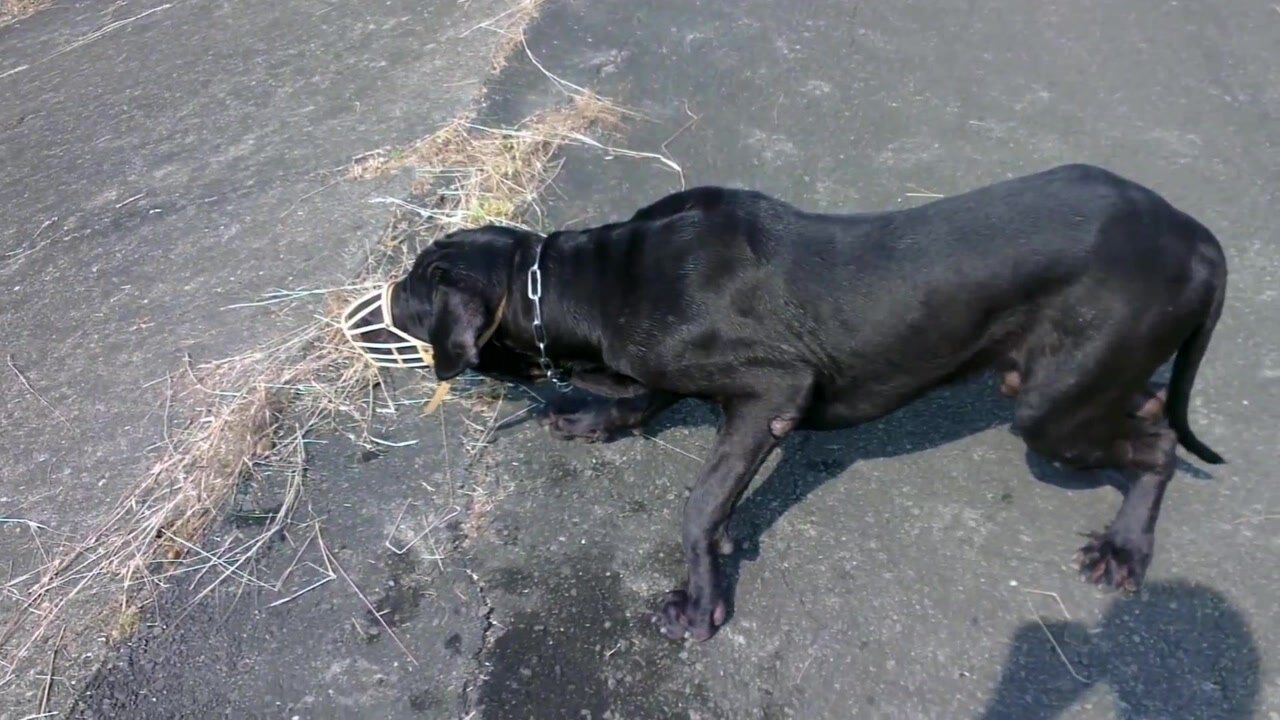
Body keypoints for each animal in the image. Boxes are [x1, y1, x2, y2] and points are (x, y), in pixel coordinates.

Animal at [360, 163, 1218, 638]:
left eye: (417, 284)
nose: (378, 298)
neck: (589, 281)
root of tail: (1197, 237)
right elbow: (648, 396)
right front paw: (599, 415)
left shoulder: (774, 392)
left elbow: (700, 505)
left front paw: (699, 598)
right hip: (1071, 378)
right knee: (1147, 409)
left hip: (1048, 409)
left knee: (1158, 445)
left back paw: (1125, 548)